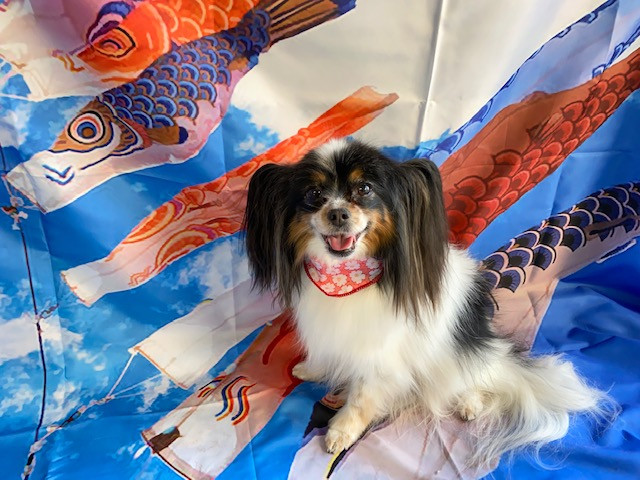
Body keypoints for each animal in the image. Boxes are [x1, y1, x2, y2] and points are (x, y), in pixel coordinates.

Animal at [243, 138, 608, 466]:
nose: (338, 214)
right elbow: (326, 352)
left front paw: (342, 431)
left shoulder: (380, 353)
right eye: (313, 195)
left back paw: (470, 403)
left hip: (464, 351)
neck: (346, 278)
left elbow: (362, 396)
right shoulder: (328, 327)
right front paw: (313, 368)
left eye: (364, 189)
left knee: (480, 374)